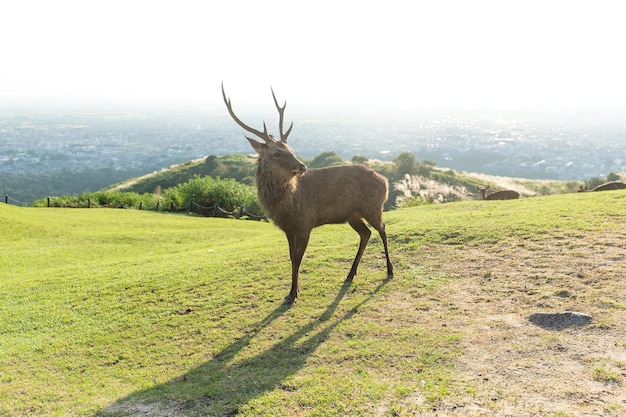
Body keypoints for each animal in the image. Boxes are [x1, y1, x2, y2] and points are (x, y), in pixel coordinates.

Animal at [222, 82, 392, 302]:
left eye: (292, 149)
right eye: (277, 153)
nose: (302, 166)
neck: (287, 206)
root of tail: (385, 181)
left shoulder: (305, 223)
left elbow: (298, 258)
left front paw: (292, 294)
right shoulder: (288, 228)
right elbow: (291, 258)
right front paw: (292, 292)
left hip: (373, 207)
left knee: (383, 229)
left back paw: (390, 270)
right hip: (352, 214)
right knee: (366, 233)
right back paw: (350, 274)